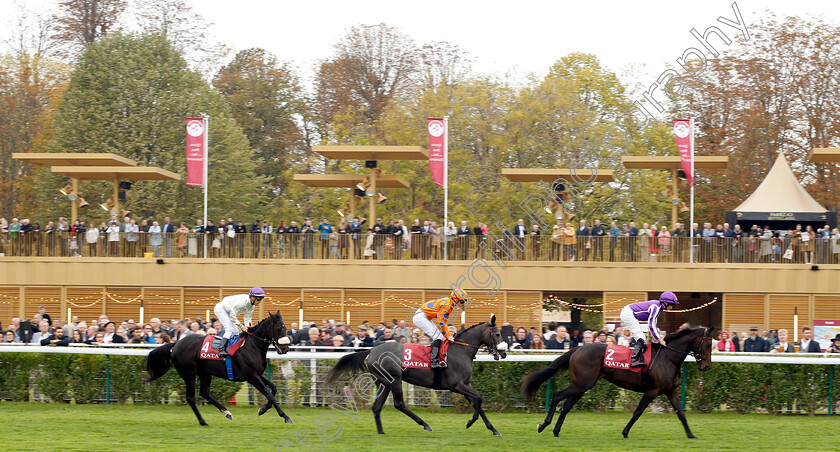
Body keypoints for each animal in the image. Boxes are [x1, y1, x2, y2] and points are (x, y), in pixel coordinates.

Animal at [143, 308, 290, 426]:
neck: (251, 347)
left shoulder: (257, 375)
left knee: (205, 392)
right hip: (189, 374)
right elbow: (269, 395)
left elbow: (274, 388)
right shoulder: (252, 377)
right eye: (280, 328)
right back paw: (203, 421)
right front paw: (285, 416)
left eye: (286, 328)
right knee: (191, 398)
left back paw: (227, 412)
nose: (285, 349)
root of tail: (176, 344)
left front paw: (262, 410)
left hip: (205, 373)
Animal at [324, 316, 508, 436]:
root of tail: (372, 350)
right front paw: (470, 422)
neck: (461, 351)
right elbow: (479, 399)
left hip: (384, 383)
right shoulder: (457, 385)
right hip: (394, 380)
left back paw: (381, 432)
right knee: (399, 404)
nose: (504, 353)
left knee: (376, 407)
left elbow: (478, 402)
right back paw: (425, 424)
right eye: (497, 334)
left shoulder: (466, 385)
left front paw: (493, 429)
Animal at [520, 328, 712, 438]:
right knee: (557, 395)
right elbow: (637, 412)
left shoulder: (671, 391)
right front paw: (625, 432)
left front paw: (691, 435)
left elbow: (681, 414)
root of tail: (577, 348)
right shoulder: (652, 390)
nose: (707, 366)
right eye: (708, 344)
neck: (668, 358)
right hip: (581, 384)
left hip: (583, 386)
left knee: (566, 405)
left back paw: (556, 431)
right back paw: (543, 425)